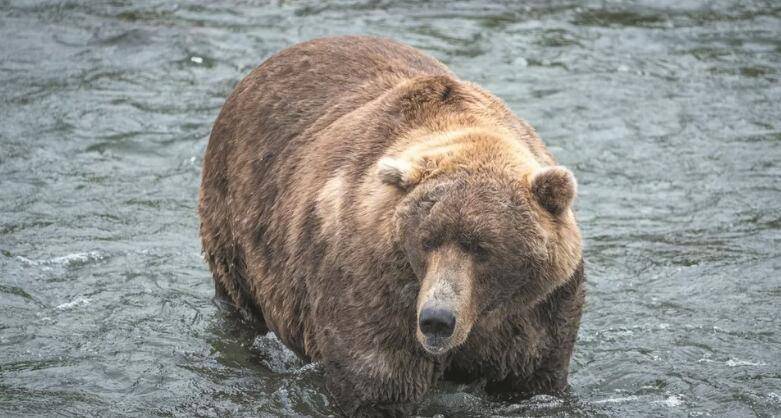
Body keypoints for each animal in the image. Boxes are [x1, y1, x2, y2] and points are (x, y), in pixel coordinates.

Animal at [198, 36, 580, 418]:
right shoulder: (374, 289)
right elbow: (378, 382)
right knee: (238, 303)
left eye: (482, 247)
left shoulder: (535, 309)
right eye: (426, 241)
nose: (437, 319)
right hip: (235, 216)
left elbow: (533, 379)